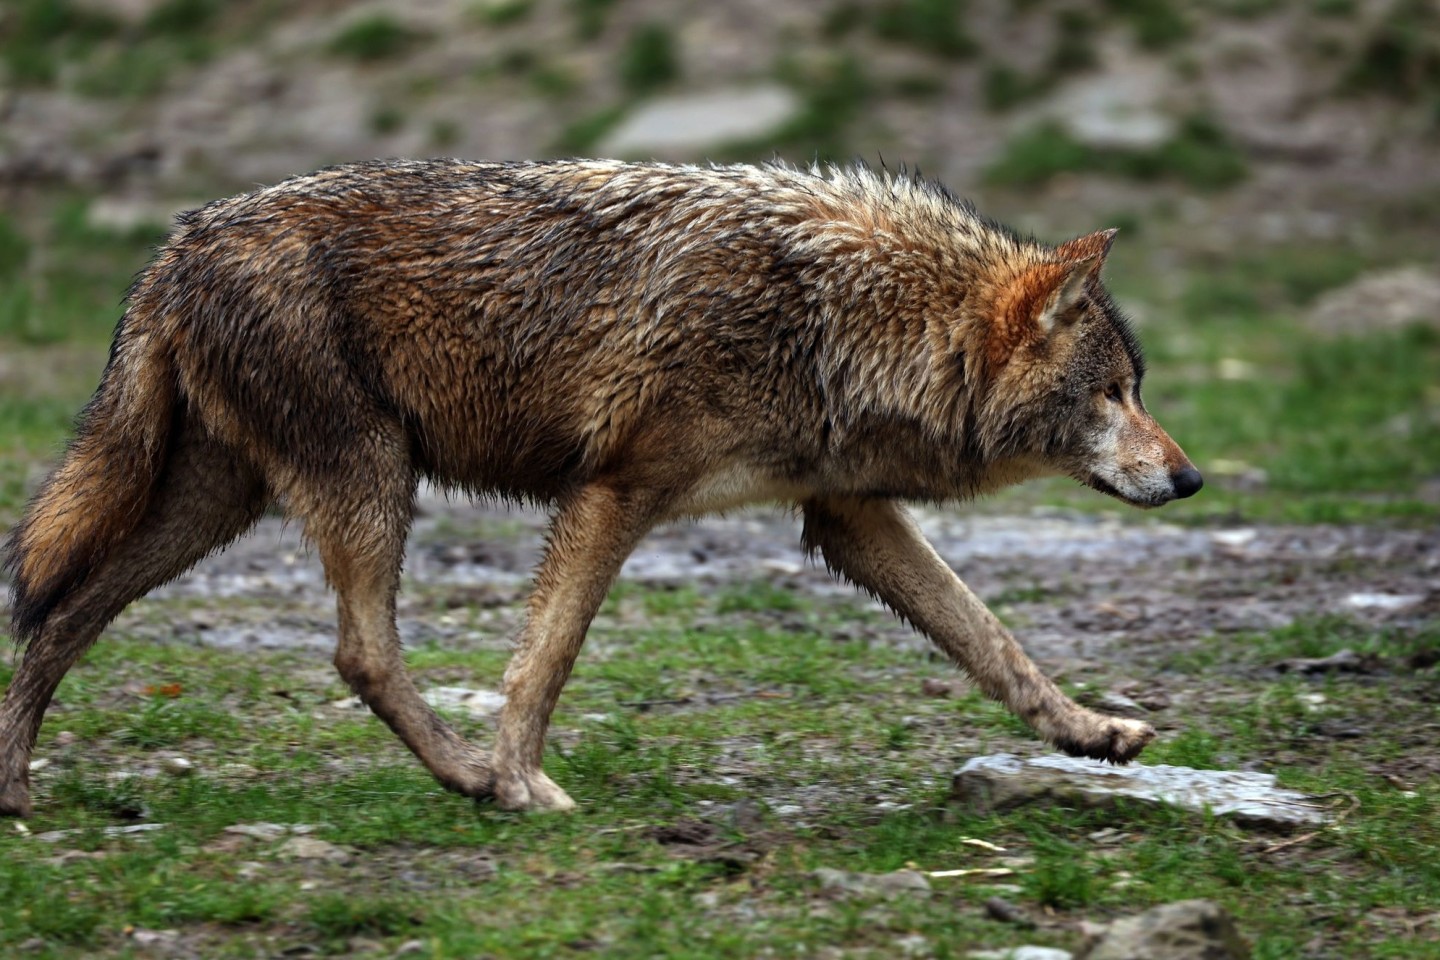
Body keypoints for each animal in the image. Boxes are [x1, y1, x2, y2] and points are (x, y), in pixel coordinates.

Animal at [0, 159, 1198, 817]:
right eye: (1117, 393)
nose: (1190, 477)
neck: (841, 316)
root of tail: (174, 244)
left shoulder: (845, 516)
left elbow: (994, 641)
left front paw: (1092, 733)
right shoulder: (614, 492)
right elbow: (546, 661)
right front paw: (519, 780)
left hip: (223, 503)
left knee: (61, 614)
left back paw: (13, 790)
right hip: (369, 485)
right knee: (358, 653)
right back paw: (468, 779)